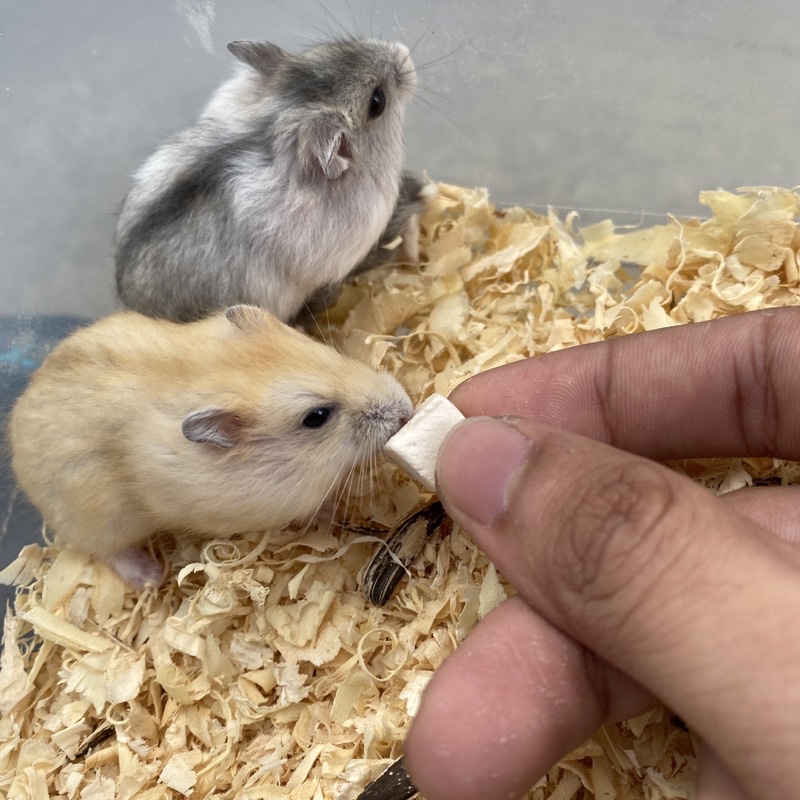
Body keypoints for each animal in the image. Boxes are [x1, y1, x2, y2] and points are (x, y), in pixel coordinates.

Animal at [8, 305, 413, 586]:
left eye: (333, 354)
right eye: (317, 416)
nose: (406, 410)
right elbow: (311, 509)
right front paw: (332, 510)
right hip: (97, 521)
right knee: (107, 552)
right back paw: (149, 577)